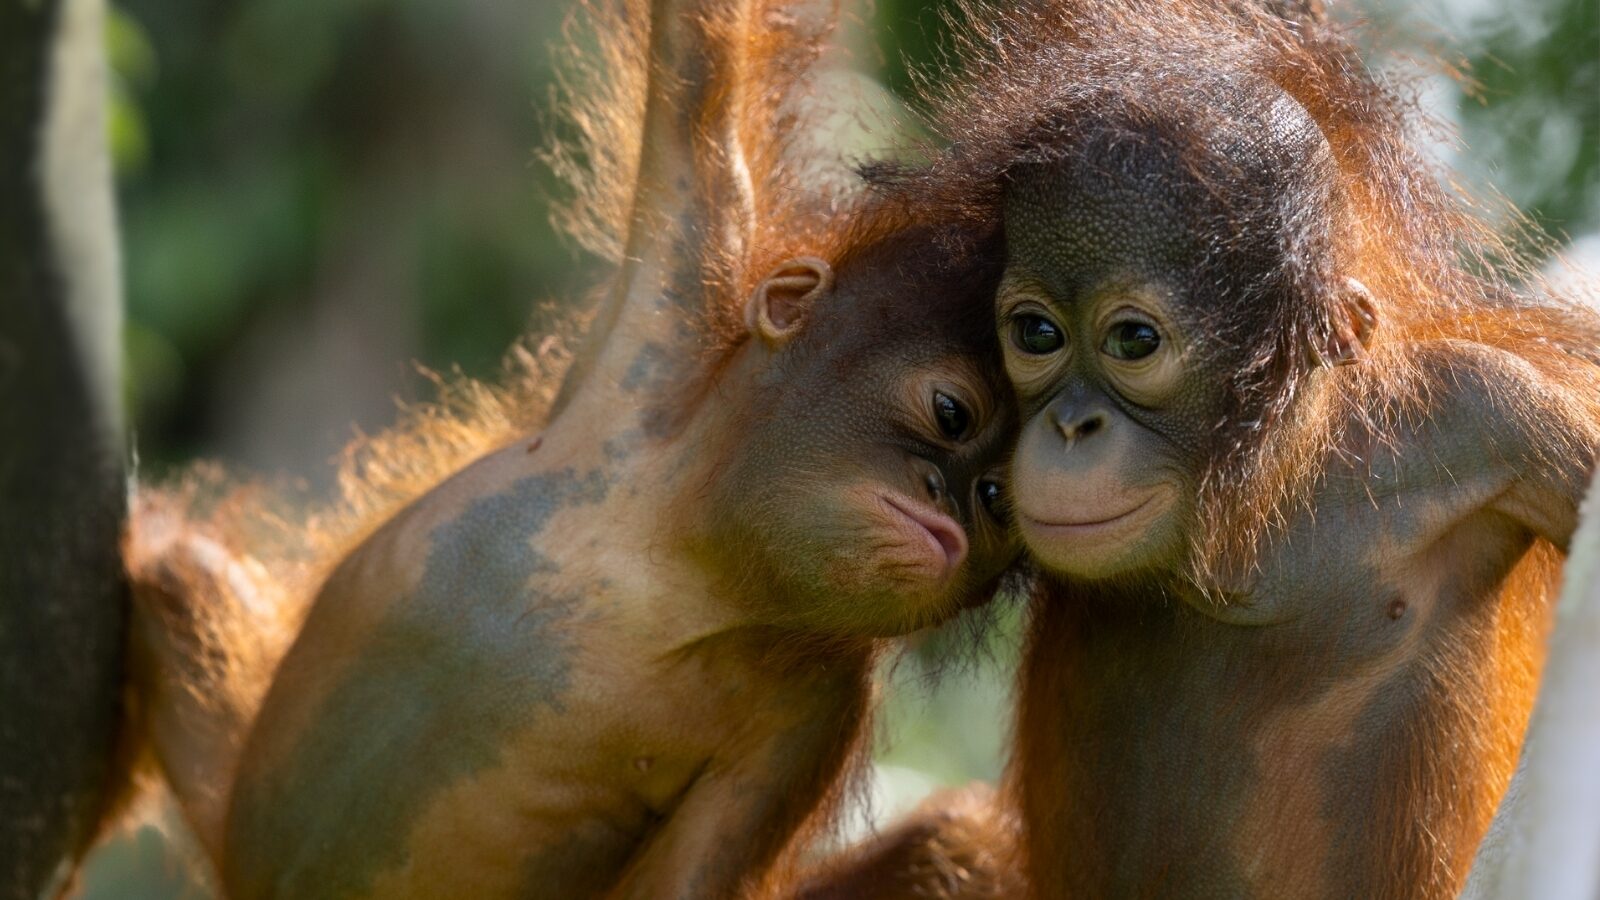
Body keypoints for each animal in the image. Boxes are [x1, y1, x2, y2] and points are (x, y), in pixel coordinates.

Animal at [116, 1, 1024, 897]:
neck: (678, 562)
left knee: (953, 840)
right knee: (174, 569)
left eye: (994, 501)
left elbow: (689, 878)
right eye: (951, 413)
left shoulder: (812, 717)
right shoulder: (668, 311)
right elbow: (696, 60)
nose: (949, 503)